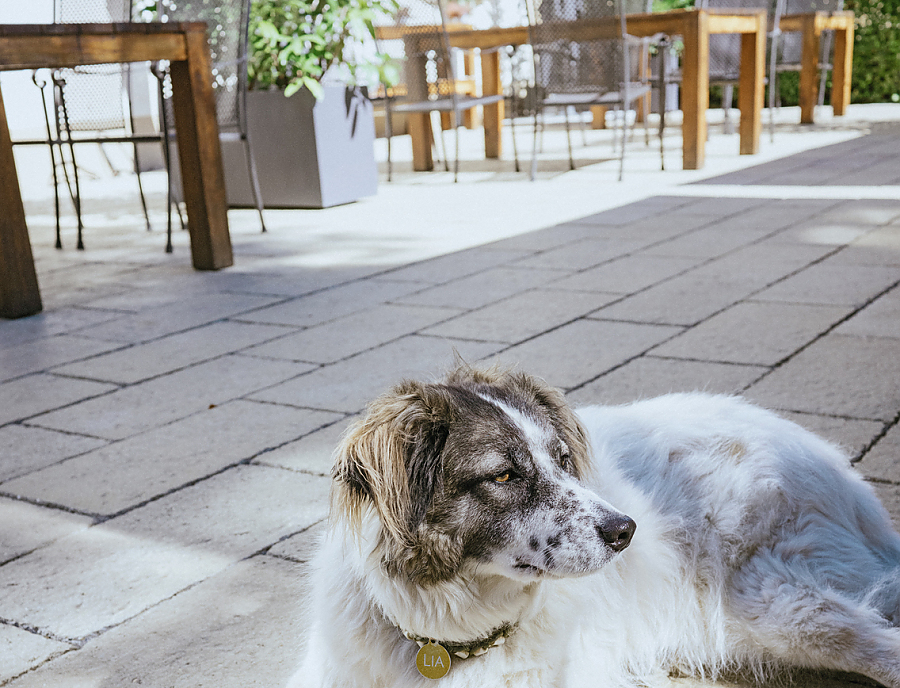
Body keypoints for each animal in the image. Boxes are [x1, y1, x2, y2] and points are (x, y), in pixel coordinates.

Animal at [288, 366, 900, 688]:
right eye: (504, 474)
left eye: (563, 459)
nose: (626, 530)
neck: (453, 638)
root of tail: (839, 471)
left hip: (778, 605)